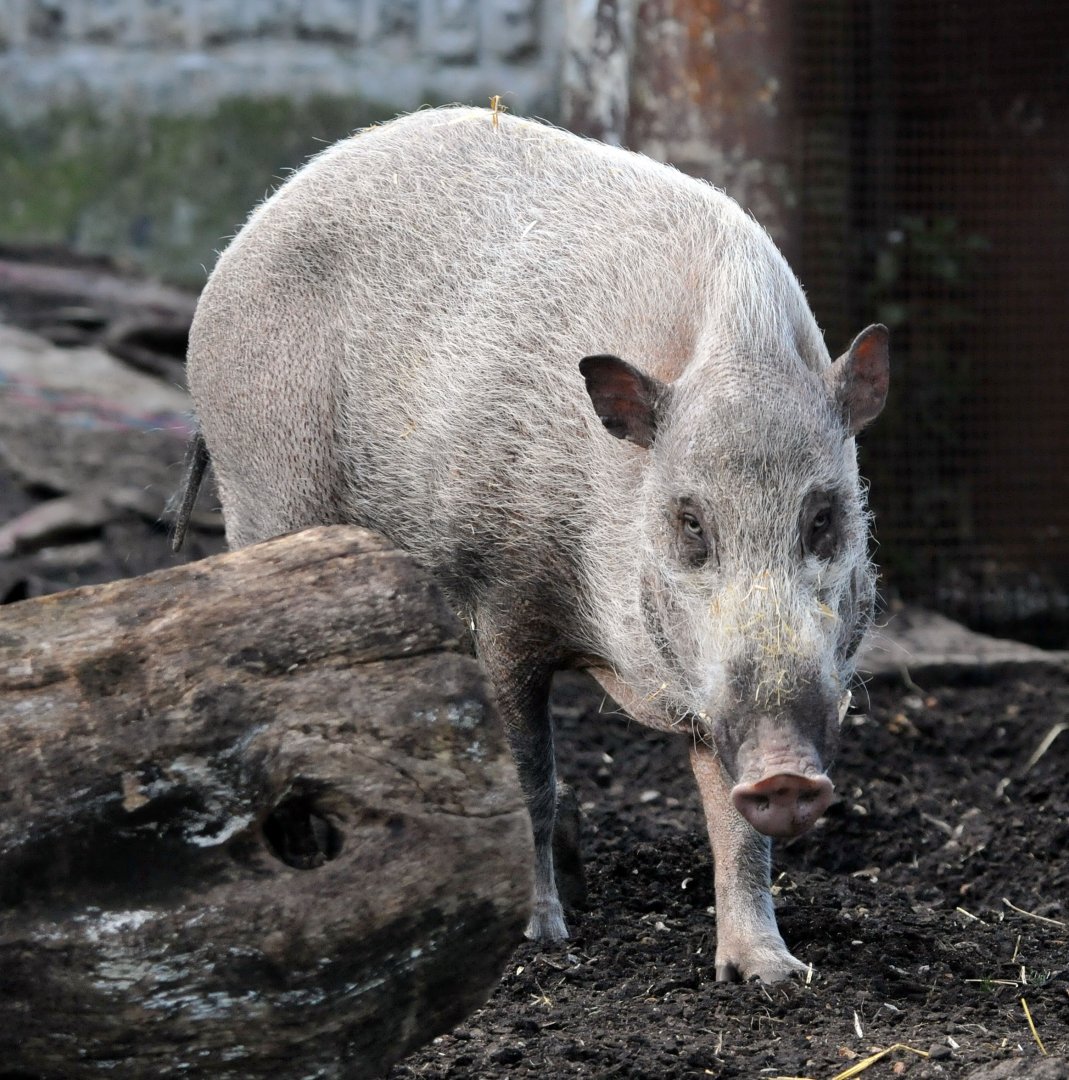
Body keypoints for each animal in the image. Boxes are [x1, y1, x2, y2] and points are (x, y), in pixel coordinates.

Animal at [176, 106, 889, 984]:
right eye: (690, 522)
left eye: (823, 517)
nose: (785, 774)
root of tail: (237, 246)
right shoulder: (501, 594)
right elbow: (530, 776)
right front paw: (542, 937)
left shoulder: (703, 684)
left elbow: (730, 821)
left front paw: (772, 974)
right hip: (262, 494)